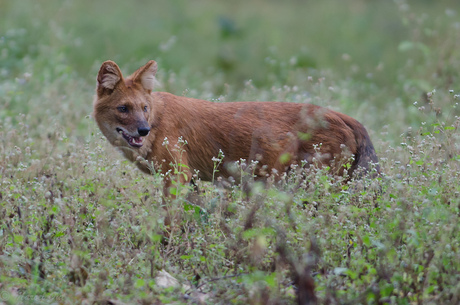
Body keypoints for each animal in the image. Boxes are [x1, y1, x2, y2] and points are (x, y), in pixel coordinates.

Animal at [91, 59, 380, 195]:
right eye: (124, 109)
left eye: (144, 108)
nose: (143, 130)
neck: (158, 120)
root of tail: (343, 115)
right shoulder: (190, 179)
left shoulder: (177, 175)